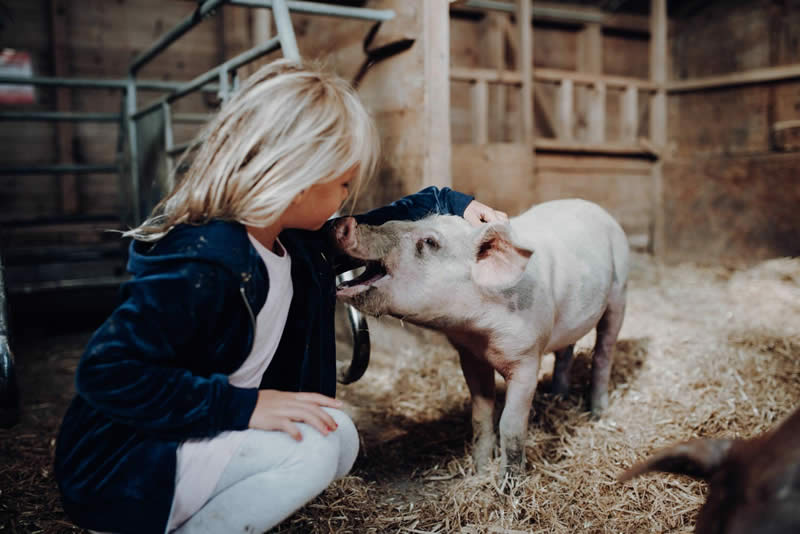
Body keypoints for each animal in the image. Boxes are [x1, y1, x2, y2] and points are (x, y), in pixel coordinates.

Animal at [332, 199, 632, 476]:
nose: (344, 224)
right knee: (565, 351)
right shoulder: (469, 356)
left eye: (429, 241)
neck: (480, 333)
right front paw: (479, 470)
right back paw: (557, 397)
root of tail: (598, 208)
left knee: (604, 352)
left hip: (619, 292)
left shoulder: (527, 358)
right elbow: (481, 417)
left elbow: (510, 425)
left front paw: (508, 488)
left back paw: (597, 413)